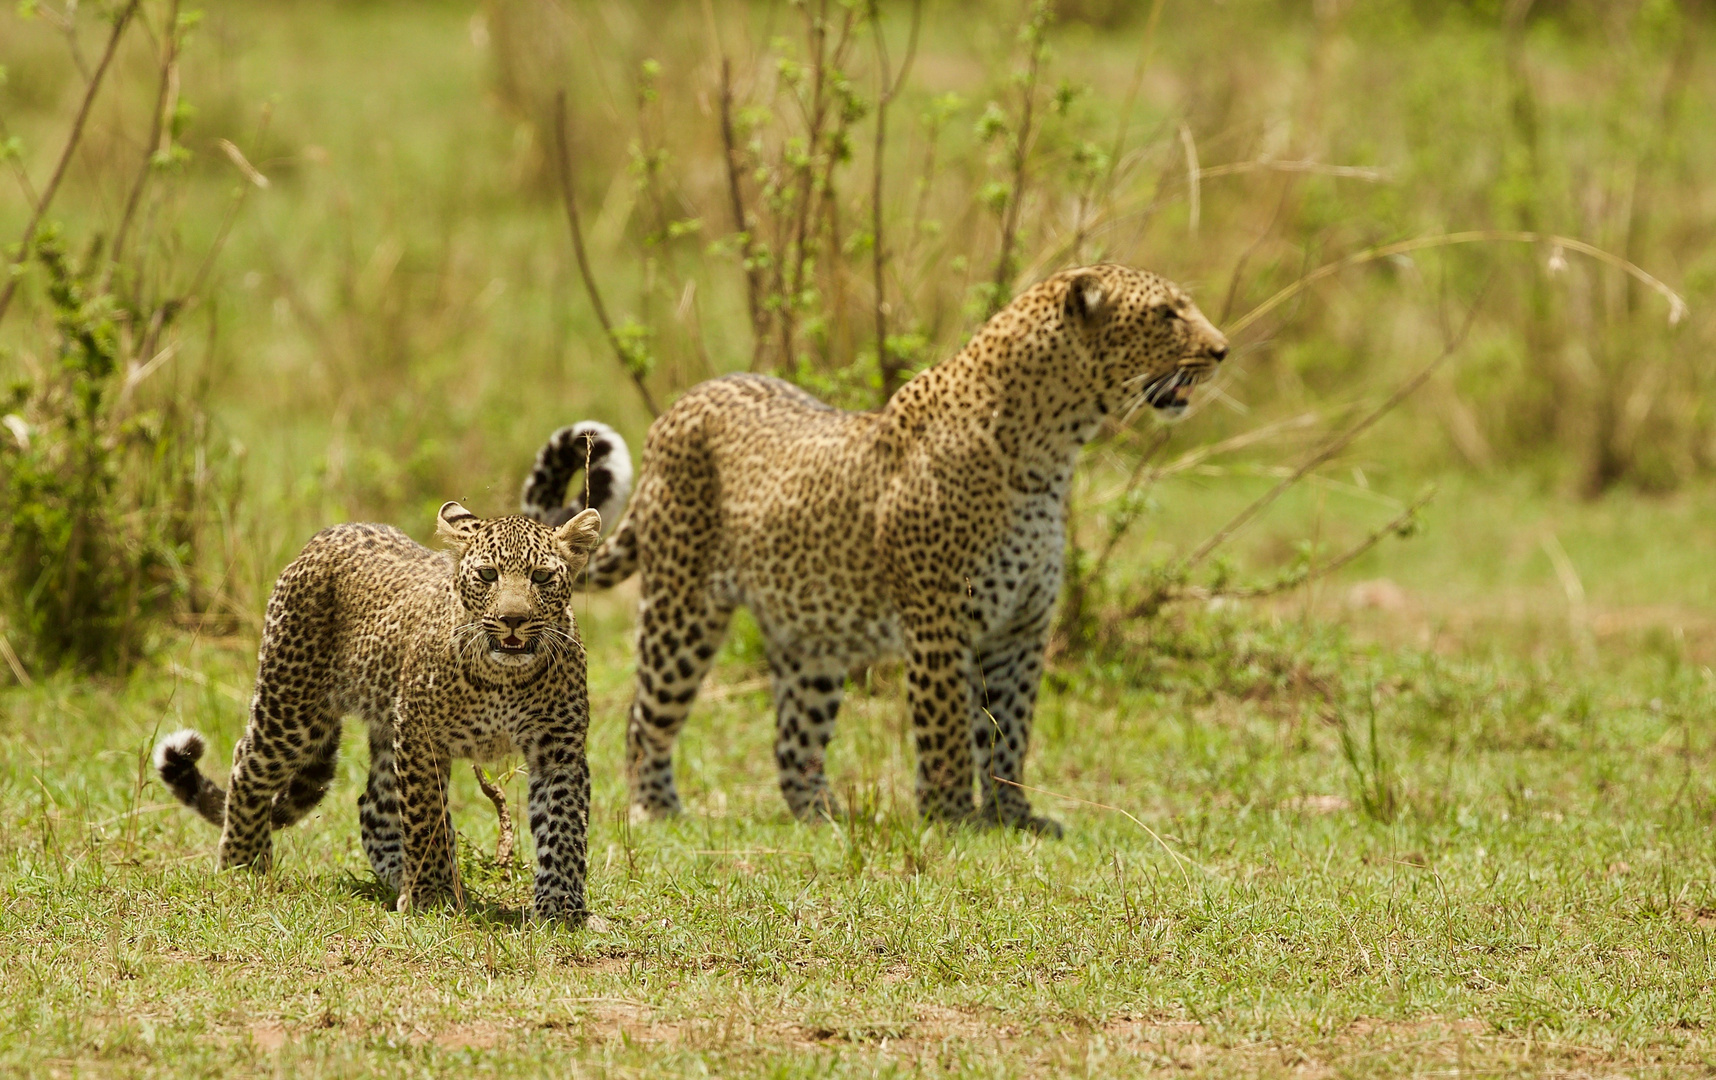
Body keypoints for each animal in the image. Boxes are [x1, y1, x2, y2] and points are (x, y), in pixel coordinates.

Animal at [528, 262, 1228, 834]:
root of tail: (681, 405)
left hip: (810, 640)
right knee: (645, 715)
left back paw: (823, 818)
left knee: (793, 743)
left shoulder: (1023, 627)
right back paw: (656, 809)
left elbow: (1010, 732)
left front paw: (1013, 814)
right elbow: (948, 732)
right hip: (683, 608)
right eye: (1168, 313)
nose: (1222, 350)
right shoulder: (940, 620)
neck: (1051, 450)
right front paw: (952, 819)